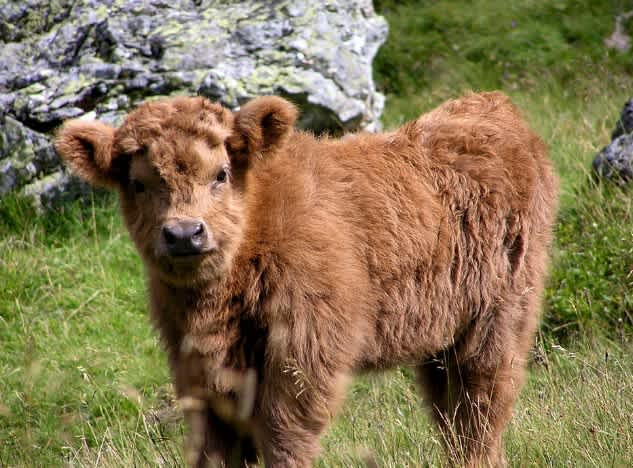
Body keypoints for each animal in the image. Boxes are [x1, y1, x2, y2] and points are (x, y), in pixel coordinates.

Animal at [56, 92, 556, 468]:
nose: (183, 233)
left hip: (500, 318)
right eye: (138, 183)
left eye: (221, 174)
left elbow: (285, 439)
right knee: (449, 414)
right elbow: (213, 448)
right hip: (441, 338)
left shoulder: (303, 356)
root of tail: (490, 105)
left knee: (480, 411)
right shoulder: (195, 371)